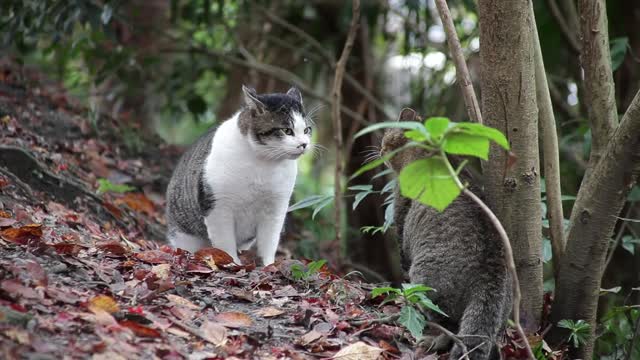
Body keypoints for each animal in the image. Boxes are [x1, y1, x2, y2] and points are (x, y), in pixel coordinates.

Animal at [165, 84, 312, 264]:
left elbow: (269, 242)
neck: (263, 163)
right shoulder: (218, 206)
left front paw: (268, 265)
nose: (304, 144)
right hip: (183, 233)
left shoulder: (276, 208)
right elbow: (225, 243)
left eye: (307, 130)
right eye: (287, 130)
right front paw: (232, 262)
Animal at [380, 107, 510, 360]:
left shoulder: (401, 216)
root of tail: (492, 274)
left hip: (427, 280)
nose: (379, 150)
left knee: (447, 327)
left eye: (386, 135)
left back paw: (430, 340)